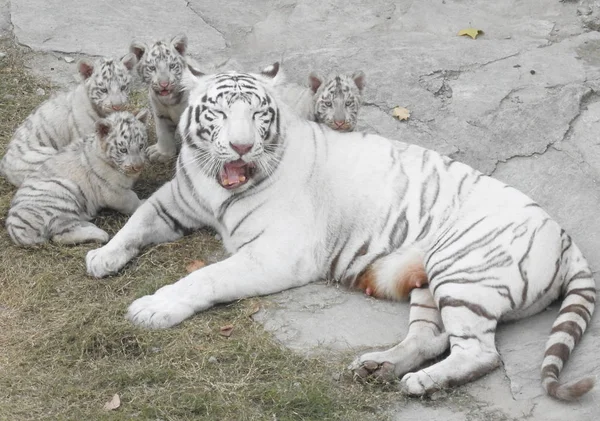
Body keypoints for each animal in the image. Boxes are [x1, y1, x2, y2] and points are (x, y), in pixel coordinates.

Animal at [85, 65, 596, 400]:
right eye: (220, 113)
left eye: (258, 115)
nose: (242, 147)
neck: (216, 183)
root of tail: (566, 237)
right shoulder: (176, 200)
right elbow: (135, 223)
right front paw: (102, 257)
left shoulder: (277, 253)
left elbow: (205, 276)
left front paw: (153, 307)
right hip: (431, 283)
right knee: (431, 338)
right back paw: (378, 367)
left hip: (464, 270)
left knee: (481, 353)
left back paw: (419, 383)